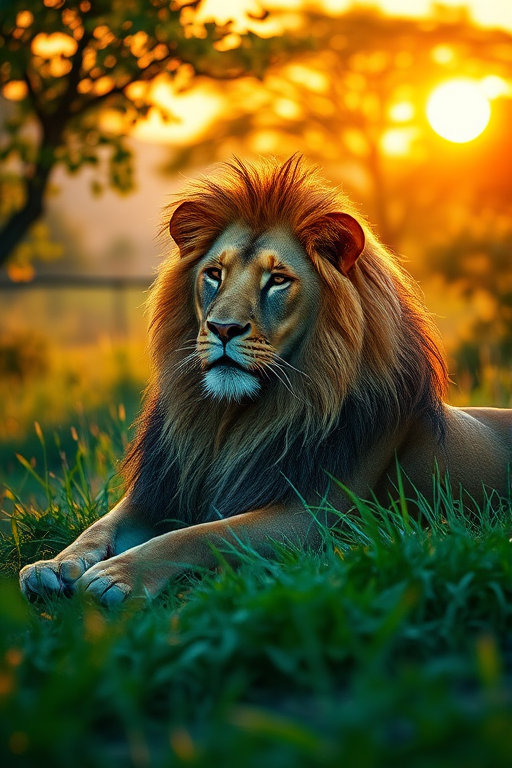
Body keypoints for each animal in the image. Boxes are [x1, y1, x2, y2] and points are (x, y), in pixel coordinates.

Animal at [20, 156, 512, 606]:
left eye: (277, 280)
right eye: (213, 274)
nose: (222, 328)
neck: (230, 421)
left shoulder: (312, 516)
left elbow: (200, 534)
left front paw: (116, 576)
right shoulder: (160, 490)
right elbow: (100, 526)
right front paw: (52, 566)